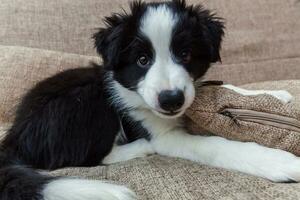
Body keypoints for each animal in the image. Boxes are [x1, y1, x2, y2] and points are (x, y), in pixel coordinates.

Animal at [0, 0, 300, 200]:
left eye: (185, 54)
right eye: (142, 60)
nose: (171, 100)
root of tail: (13, 136)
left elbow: (216, 86)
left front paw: (275, 95)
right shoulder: (165, 136)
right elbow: (214, 145)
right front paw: (280, 162)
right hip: (88, 100)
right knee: (87, 158)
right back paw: (139, 148)